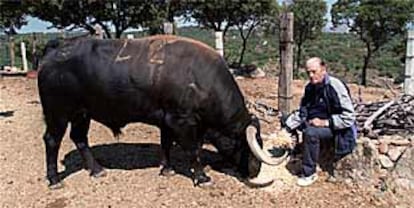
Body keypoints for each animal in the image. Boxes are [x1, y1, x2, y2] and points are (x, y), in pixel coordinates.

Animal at [37, 35, 286, 188]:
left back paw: (96, 169)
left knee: (79, 138)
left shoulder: (167, 120)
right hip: (58, 113)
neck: (200, 79)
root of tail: (56, 48)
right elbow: (192, 150)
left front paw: (167, 169)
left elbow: (166, 143)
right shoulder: (182, 122)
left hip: (82, 114)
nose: (255, 170)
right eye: (249, 146)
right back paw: (55, 179)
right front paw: (202, 177)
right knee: (52, 141)